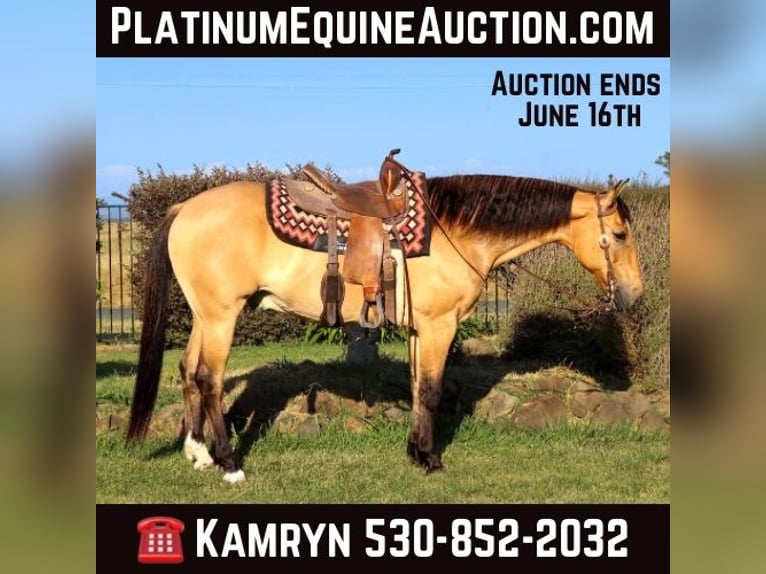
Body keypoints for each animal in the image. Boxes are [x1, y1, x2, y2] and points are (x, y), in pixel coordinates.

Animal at [125, 167, 643, 484]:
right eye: (619, 235)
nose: (635, 295)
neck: (454, 231)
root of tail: (184, 209)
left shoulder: (420, 330)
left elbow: (417, 388)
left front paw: (415, 453)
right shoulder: (438, 326)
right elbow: (431, 390)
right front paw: (431, 460)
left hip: (205, 316)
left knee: (188, 373)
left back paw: (198, 453)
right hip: (222, 316)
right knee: (210, 380)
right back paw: (230, 464)